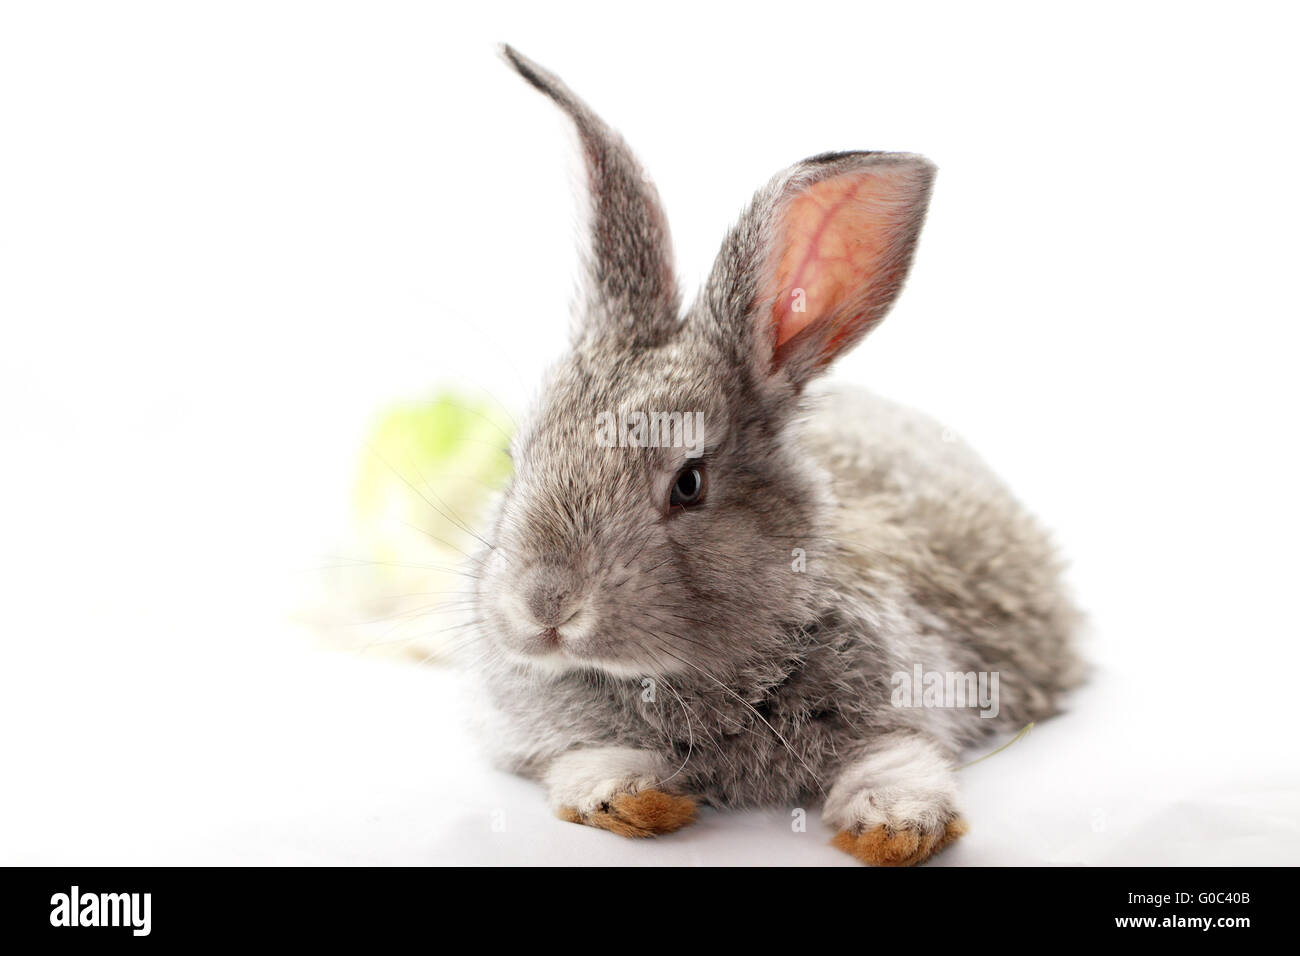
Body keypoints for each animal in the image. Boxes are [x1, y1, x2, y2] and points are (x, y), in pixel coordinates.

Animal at [462, 46, 1081, 868]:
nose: (544, 610)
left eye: (689, 483)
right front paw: (634, 800)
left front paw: (895, 827)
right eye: (517, 457)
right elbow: (586, 762)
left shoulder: (915, 693)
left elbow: (899, 759)